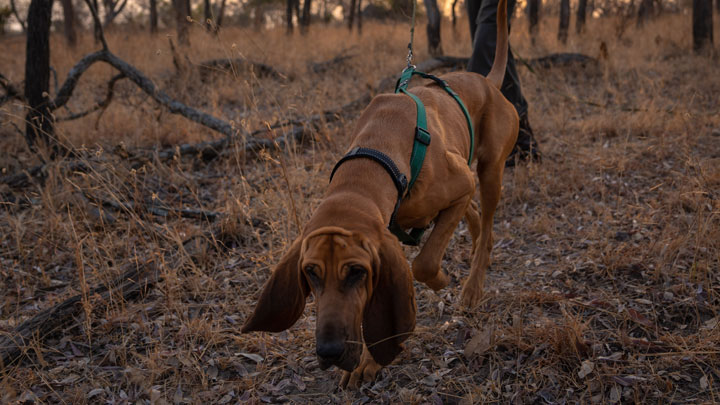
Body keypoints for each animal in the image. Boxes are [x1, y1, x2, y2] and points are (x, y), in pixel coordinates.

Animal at [242, 0, 516, 388]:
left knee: (487, 219)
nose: (329, 352)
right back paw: (478, 248)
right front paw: (367, 363)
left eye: (356, 272)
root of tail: (487, 82)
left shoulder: (460, 185)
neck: (372, 160)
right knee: (477, 219)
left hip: (489, 171)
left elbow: (424, 263)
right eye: (310, 273)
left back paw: (472, 286)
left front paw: (442, 280)